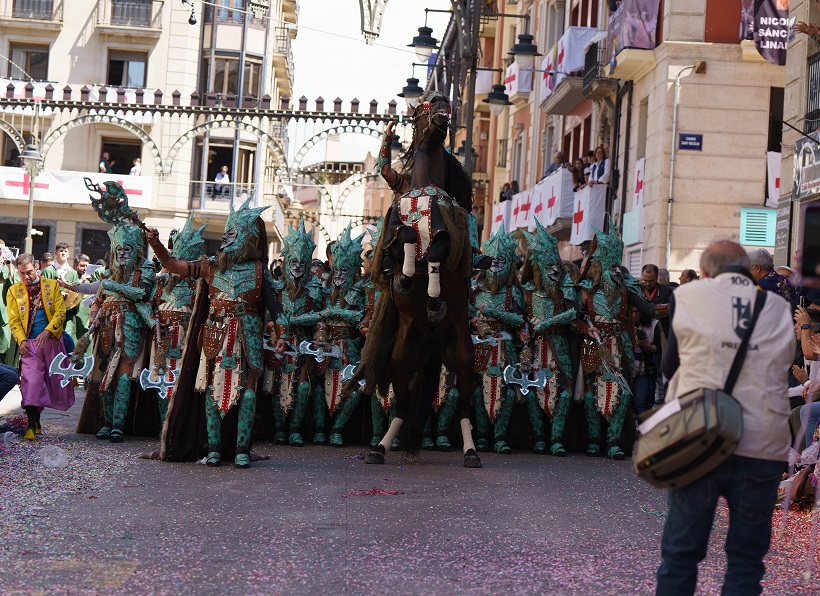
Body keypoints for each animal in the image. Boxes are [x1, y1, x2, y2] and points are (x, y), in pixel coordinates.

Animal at [356, 91, 484, 468]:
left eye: (445, 103)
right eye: (425, 105)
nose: (443, 112)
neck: (424, 188)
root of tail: (433, 345)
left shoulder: (446, 230)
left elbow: (438, 247)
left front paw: (433, 293)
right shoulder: (398, 223)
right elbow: (406, 234)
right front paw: (405, 276)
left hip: (462, 357)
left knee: (465, 409)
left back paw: (471, 452)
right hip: (402, 360)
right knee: (402, 405)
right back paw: (379, 449)